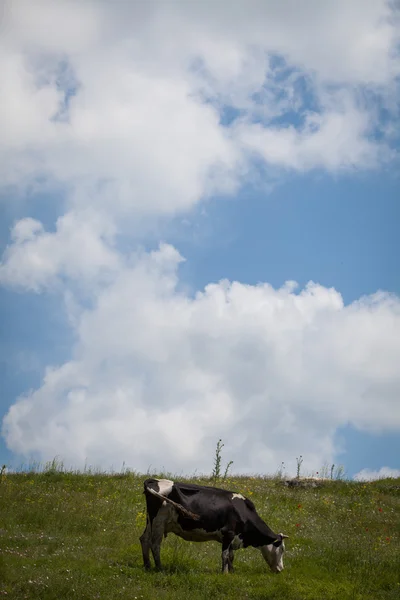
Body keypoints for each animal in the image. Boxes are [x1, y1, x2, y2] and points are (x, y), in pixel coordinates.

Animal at [140, 478, 288, 572]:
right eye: (282, 549)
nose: (281, 569)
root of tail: (155, 480)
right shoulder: (228, 533)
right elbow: (225, 555)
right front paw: (224, 573)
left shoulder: (232, 537)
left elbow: (231, 556)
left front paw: (231, 572)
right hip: (159, 521)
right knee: (155, 544)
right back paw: (159, 568)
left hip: (150, 521)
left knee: (144, 539)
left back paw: (147, 566)